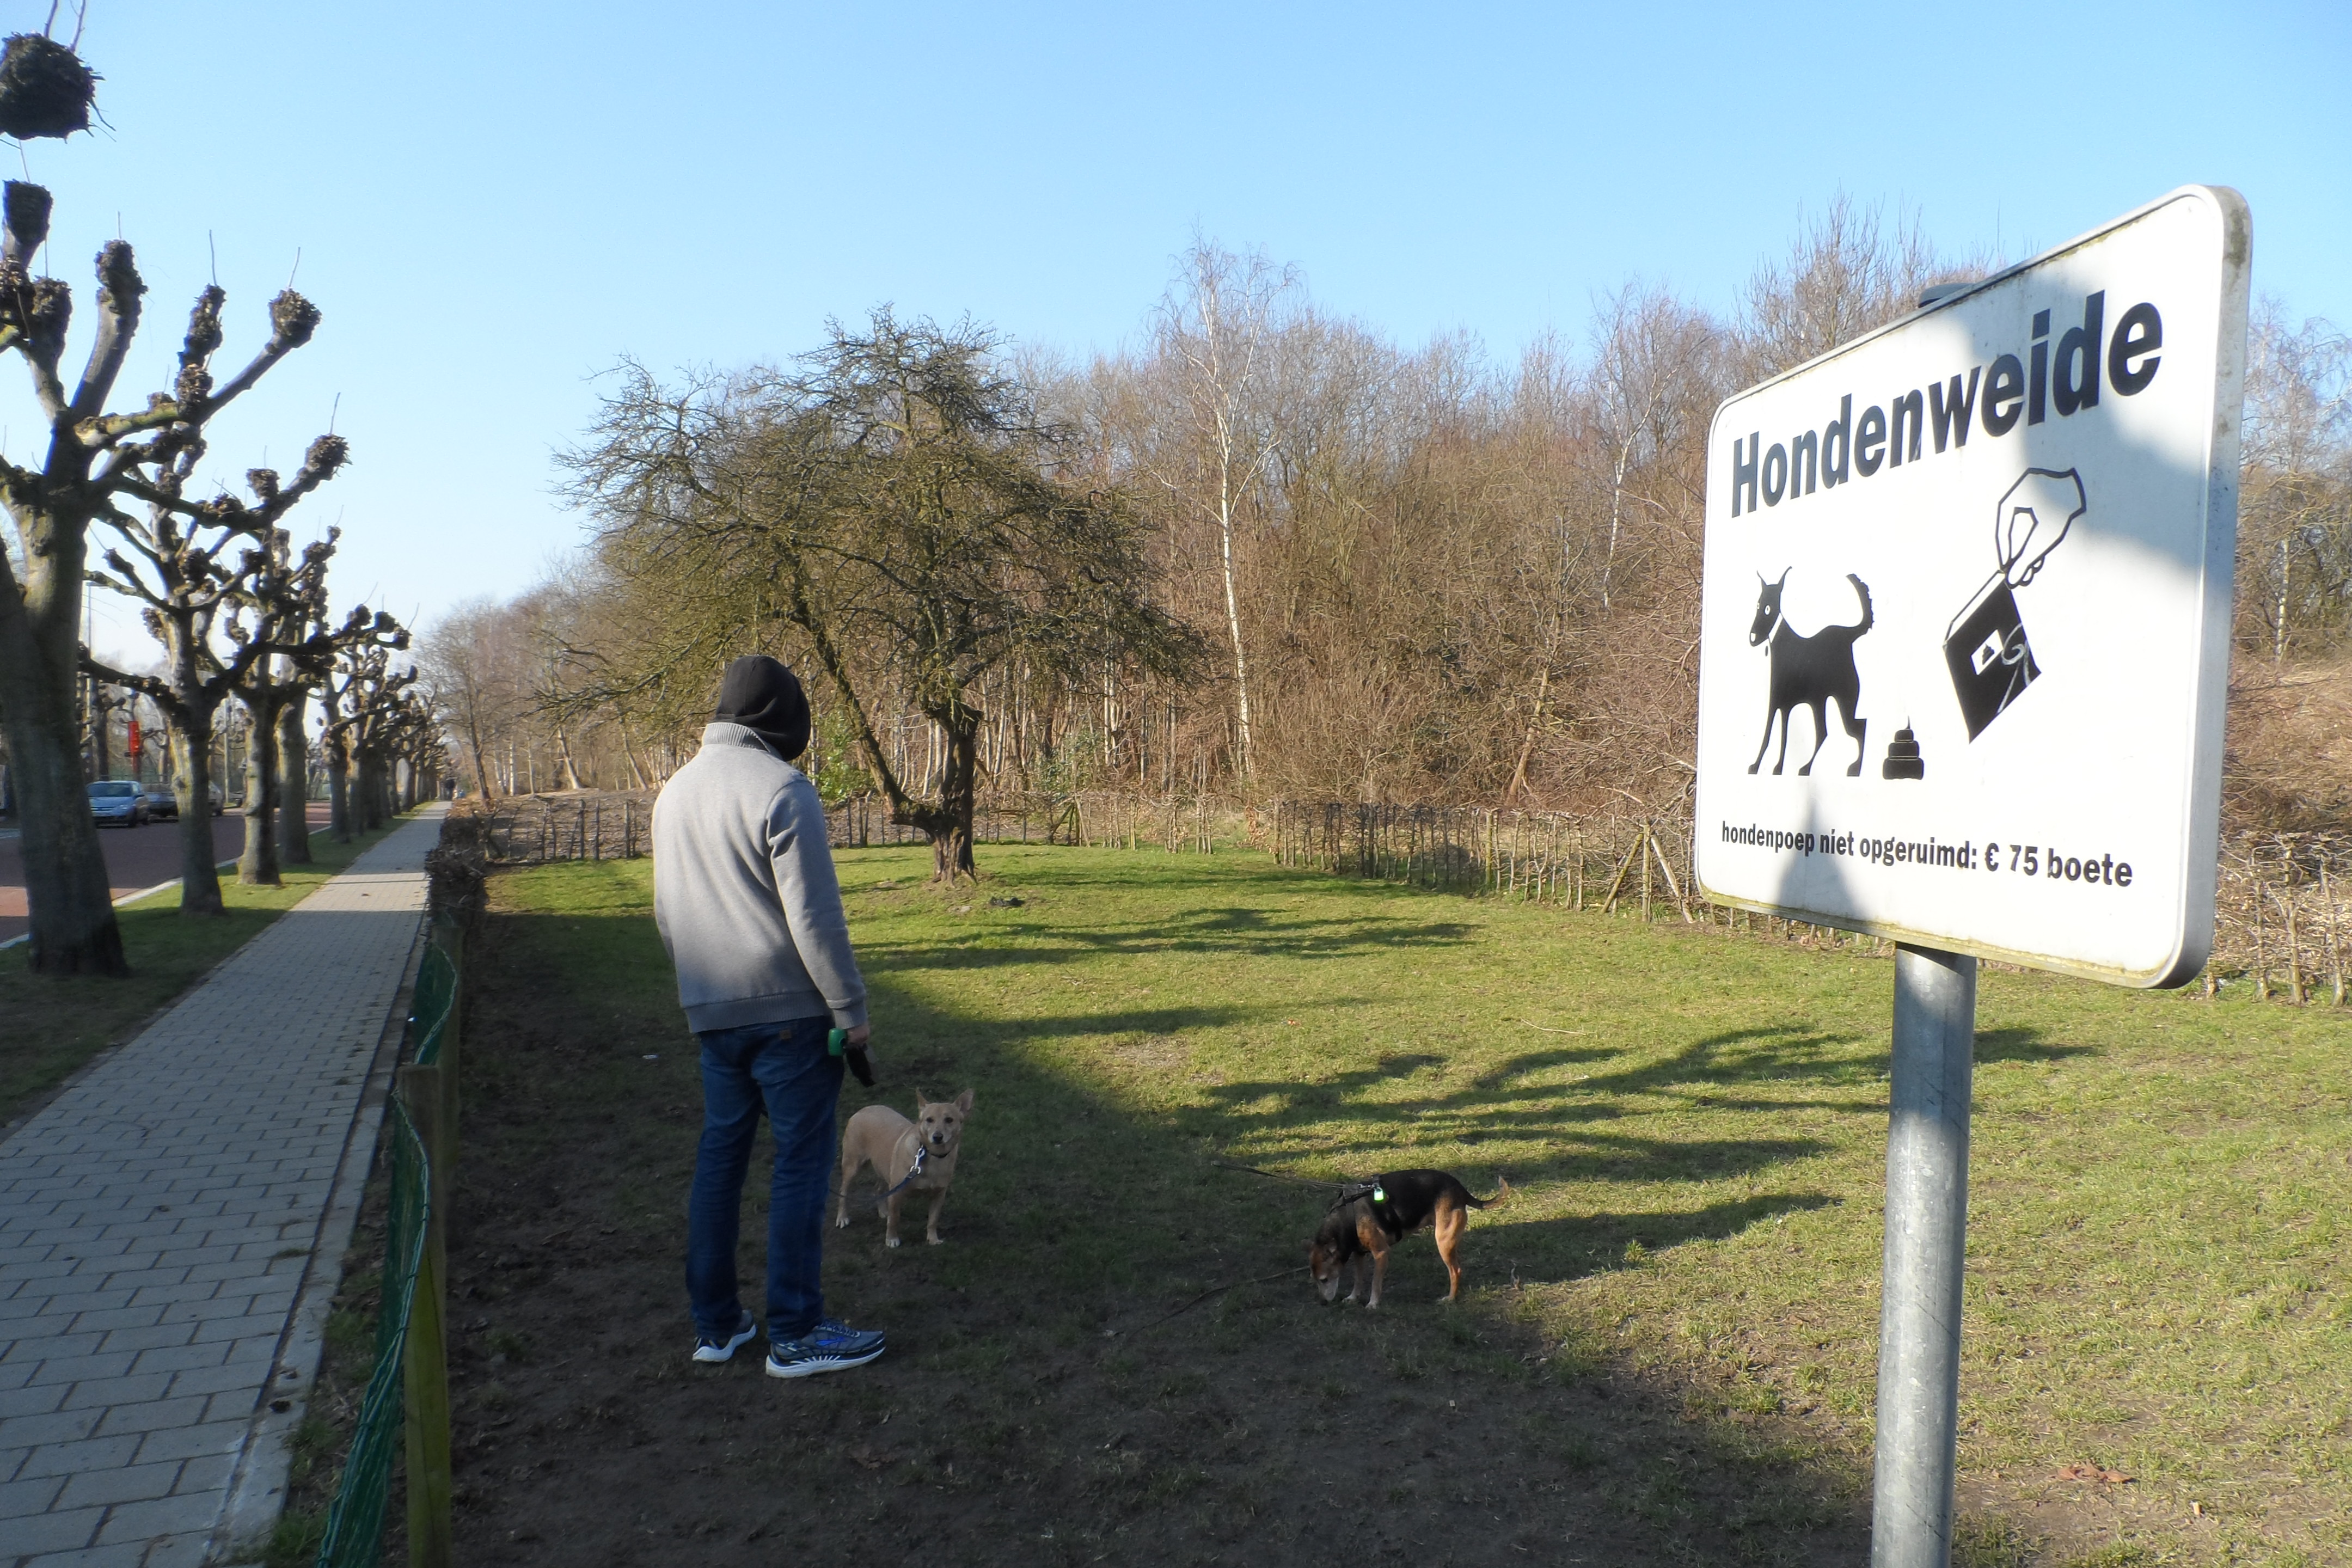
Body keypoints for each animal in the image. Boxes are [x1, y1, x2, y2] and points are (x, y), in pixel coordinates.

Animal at [837, 1091, 973, 1251]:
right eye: (929, 1120)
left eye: (949, 1120)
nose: (938, 1137)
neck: (933, 1156)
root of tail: (863, 1110)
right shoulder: (896, 1194)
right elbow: (895, 1219)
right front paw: (892, 1239)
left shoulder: (939, 1195)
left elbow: (933, 1220)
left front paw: (933, 1239)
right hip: (853, 1166)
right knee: (844, 1192)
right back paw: (842, 1218)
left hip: (884, 1169)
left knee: (878, 1189)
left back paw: (883, 1212)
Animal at [1307, 1166, 1505, 1316]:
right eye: (1315, 1280)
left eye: (1324, 1280)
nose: (1323, 1303)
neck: (1348, 1216)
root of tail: (1460, 1189)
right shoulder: (1359, 1253)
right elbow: (1358, 1279)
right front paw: (1353, 1298)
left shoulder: (1381, 1253)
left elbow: (1375, 1283)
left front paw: (1373, 1304)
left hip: (1443, 1240)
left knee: (1456, 1271)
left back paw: (1450, 1299)